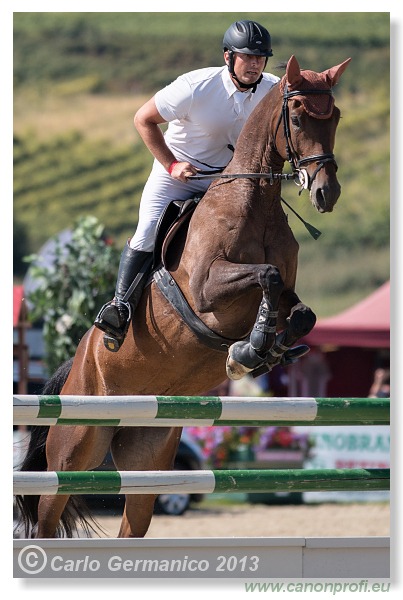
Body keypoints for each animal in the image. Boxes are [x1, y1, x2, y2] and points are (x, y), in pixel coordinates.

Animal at [15, 54, 350, 536]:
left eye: (335, 116)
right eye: (299, 115)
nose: (326, 192)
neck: (254, 202)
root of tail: (77, 361)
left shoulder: (285, 291)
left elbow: (301, 312)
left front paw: (266, 349)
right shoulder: (207, 291)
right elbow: (265, 276)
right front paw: (249, 350)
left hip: (148, 456)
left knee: (133, 519)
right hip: (75, 448)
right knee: (48, 511)